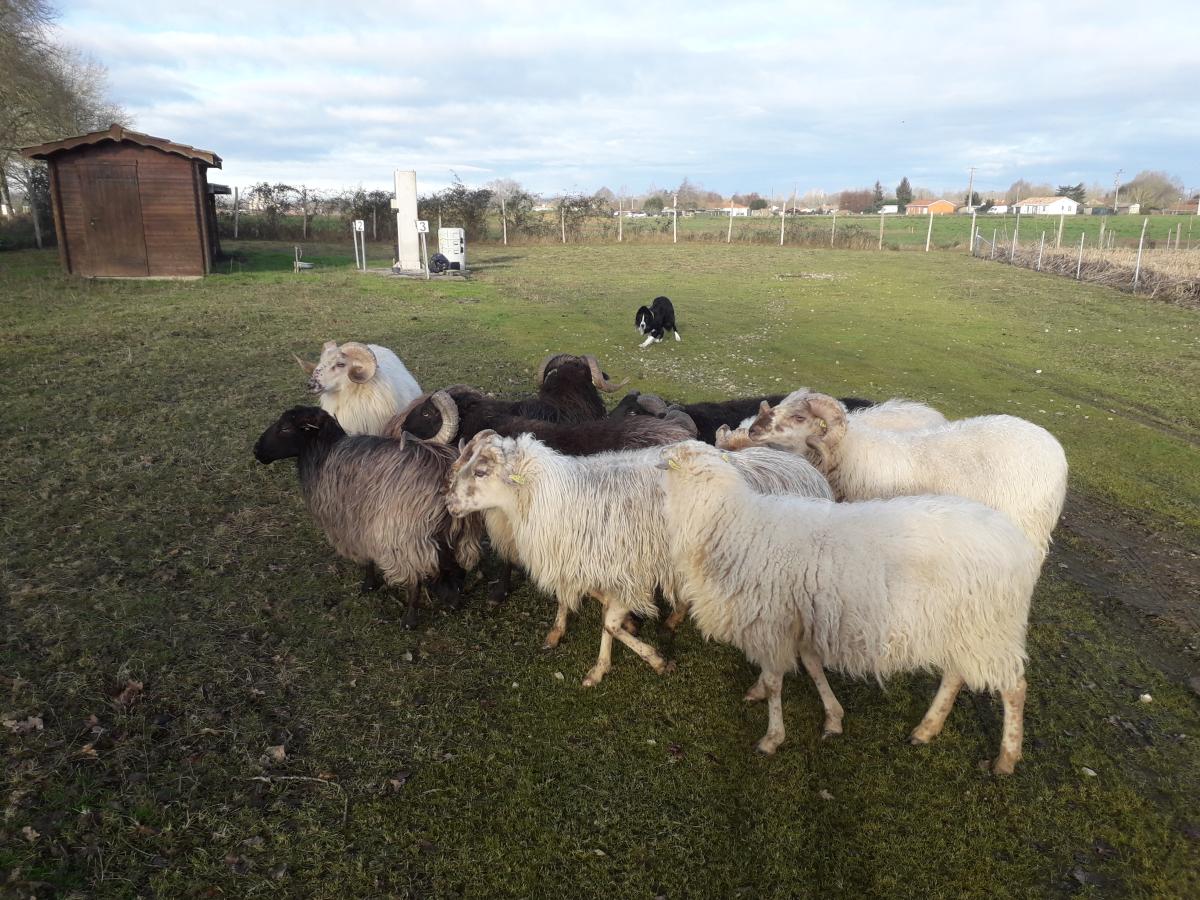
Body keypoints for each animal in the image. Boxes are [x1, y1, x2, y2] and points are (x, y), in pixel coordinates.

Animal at [446, 434, 830, 686]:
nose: (449, 503)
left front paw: (652, 660)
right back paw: (674, 617)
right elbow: (593, 609)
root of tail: (806, 469)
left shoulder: (629, 572)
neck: (559, 497)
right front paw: (579, 643)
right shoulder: (588, 564)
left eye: (480, 471)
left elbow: (609, 624)